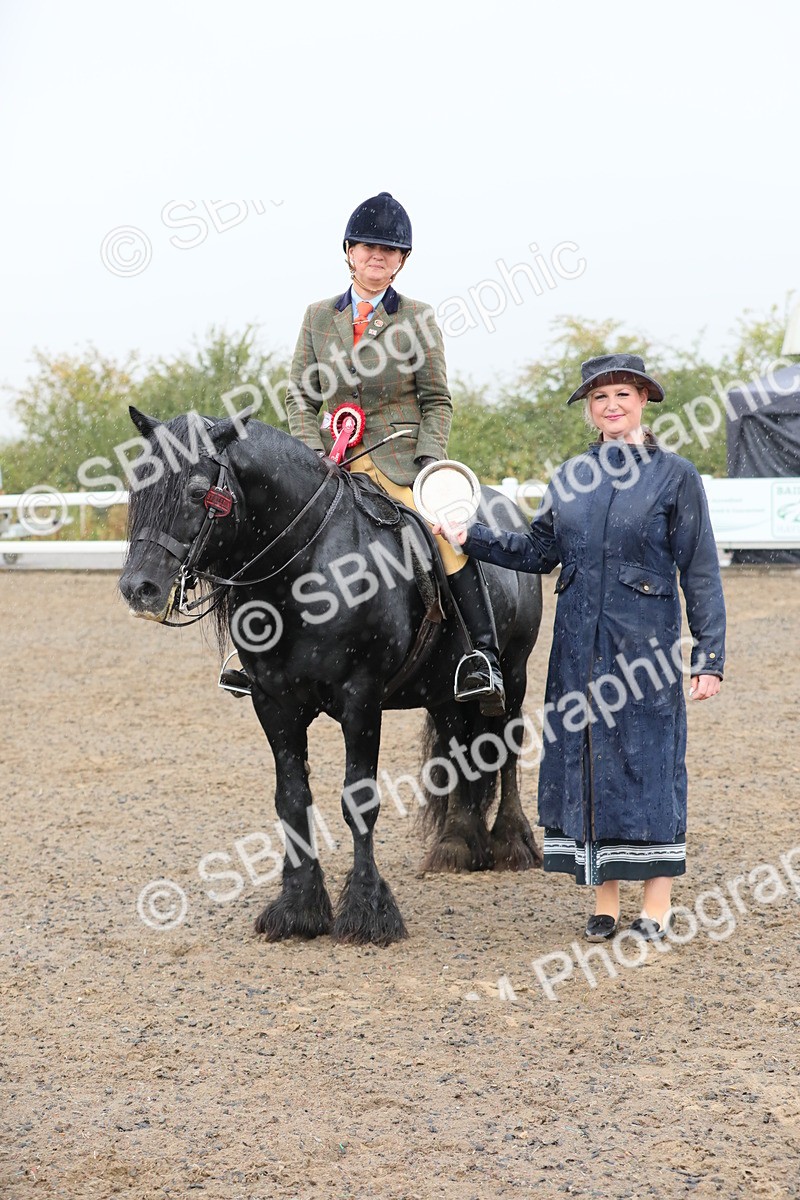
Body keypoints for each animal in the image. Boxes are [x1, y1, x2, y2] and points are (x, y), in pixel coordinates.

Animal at [118, 408, 543, 946]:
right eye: (137, 488)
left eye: (197, 491)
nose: (139, 588)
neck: (308, 565)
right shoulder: (273, 704)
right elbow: (292, 799)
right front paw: (298, 907)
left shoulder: (360, 701)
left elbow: (359, 801)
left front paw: (367, 910)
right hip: (444, 696)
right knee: (458, 752)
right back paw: (456, 843)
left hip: (514, 675)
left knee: (506, 749)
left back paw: (511, 841)